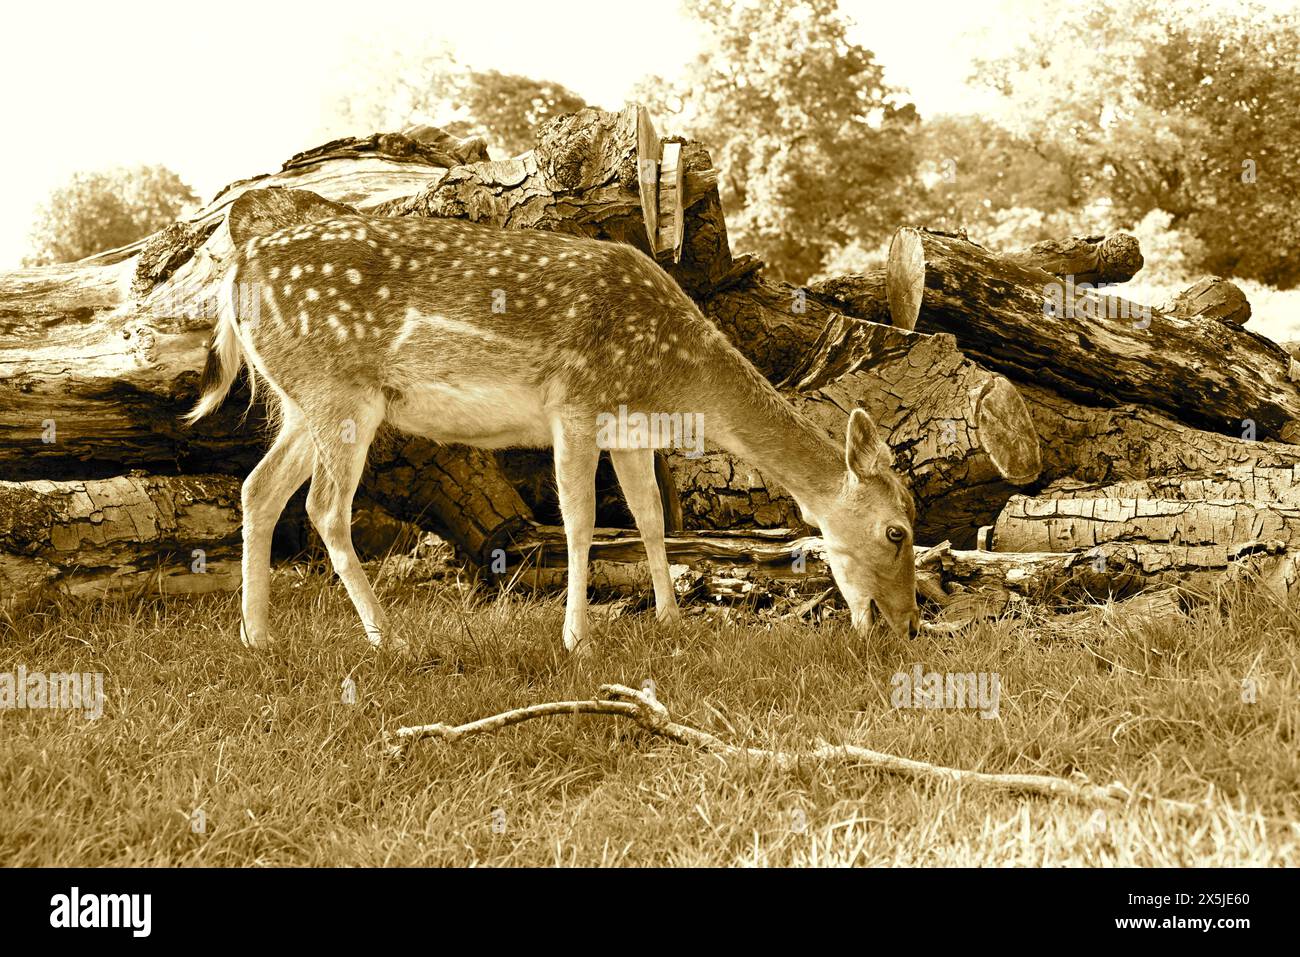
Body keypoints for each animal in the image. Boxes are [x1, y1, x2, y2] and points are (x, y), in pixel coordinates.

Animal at [186, 201, 920, 653]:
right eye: (898, 532)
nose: (907, 624)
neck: (675, 376)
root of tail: (236, 269)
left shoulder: (628, 427)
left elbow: (651, 516)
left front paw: (670, 620)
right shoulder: (577, 402)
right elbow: (582, 520)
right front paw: (579, 639)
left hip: (302, 400)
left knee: (258, 488)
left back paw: (259, 635)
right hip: (340, 391)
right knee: (324, 507)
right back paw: (386, 634)